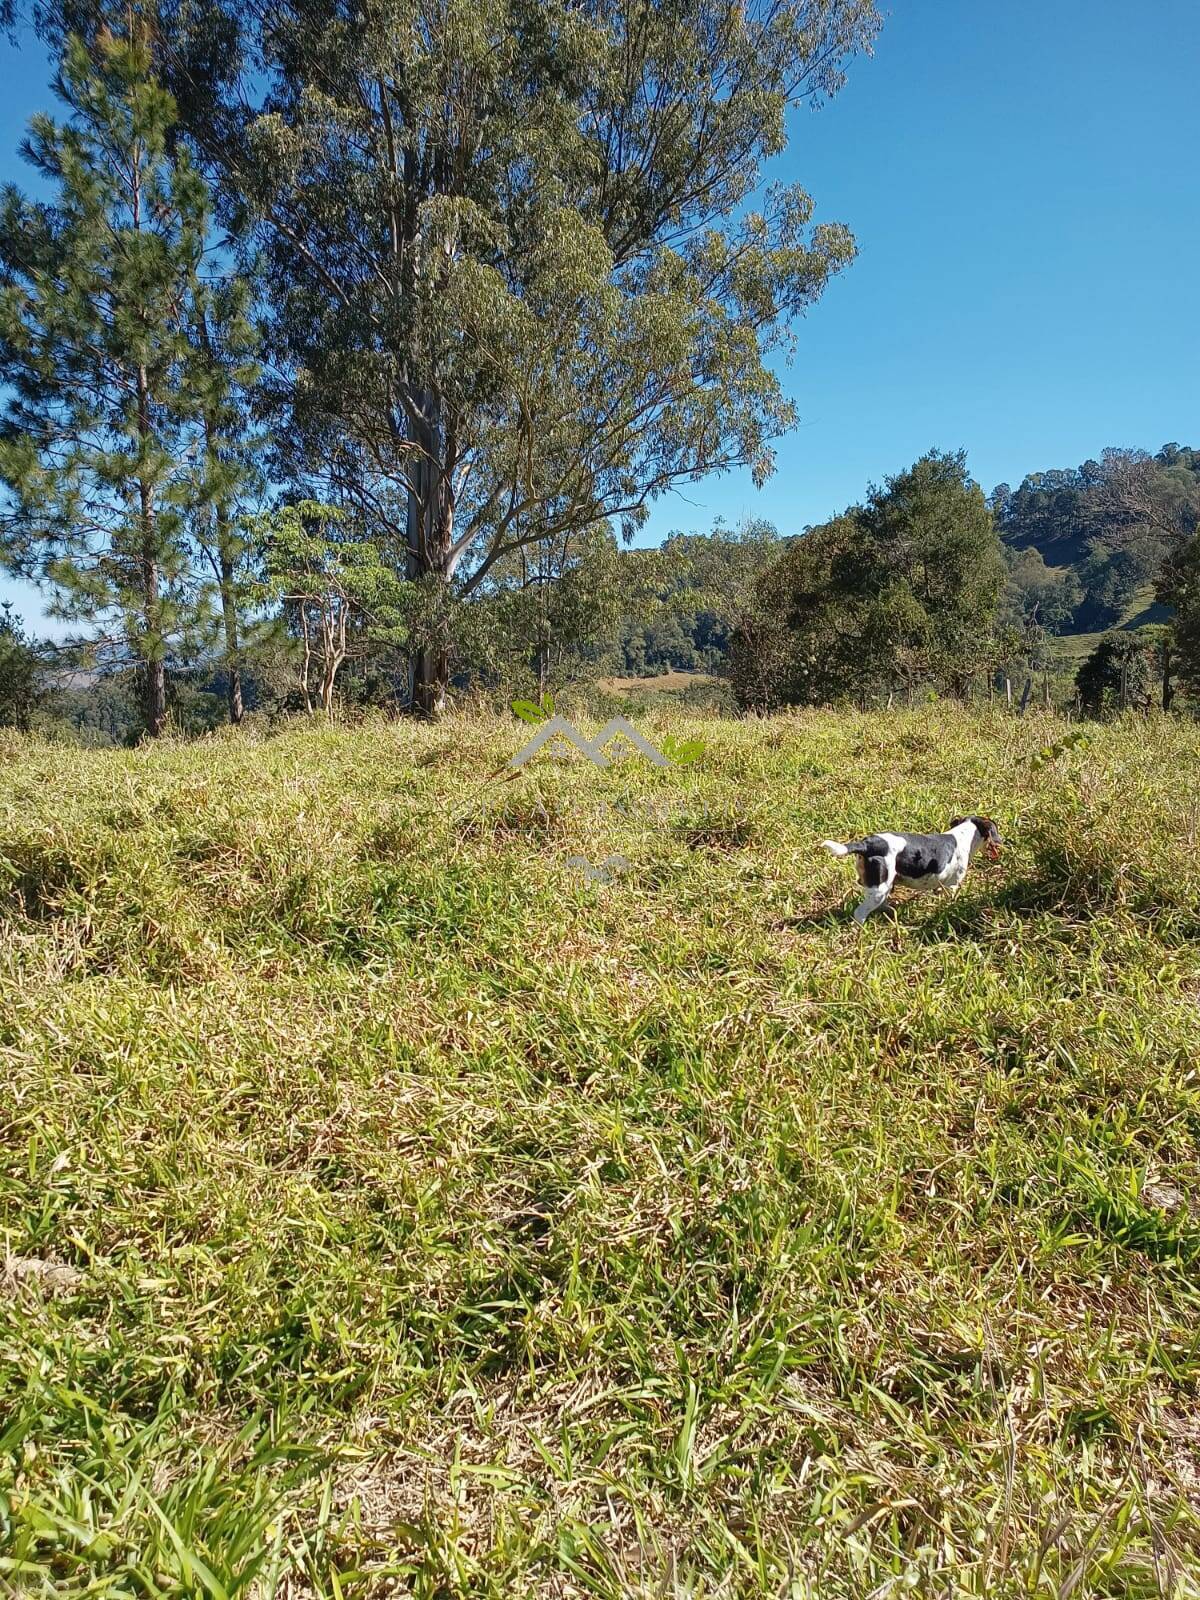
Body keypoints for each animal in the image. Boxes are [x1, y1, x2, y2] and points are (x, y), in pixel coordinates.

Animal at [825, 819, 1004, 921]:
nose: (1002, 842)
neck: (963, 836)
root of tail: (866, 844)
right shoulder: (952, 885)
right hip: (879, 888)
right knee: (860, 913)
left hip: (883, 886)